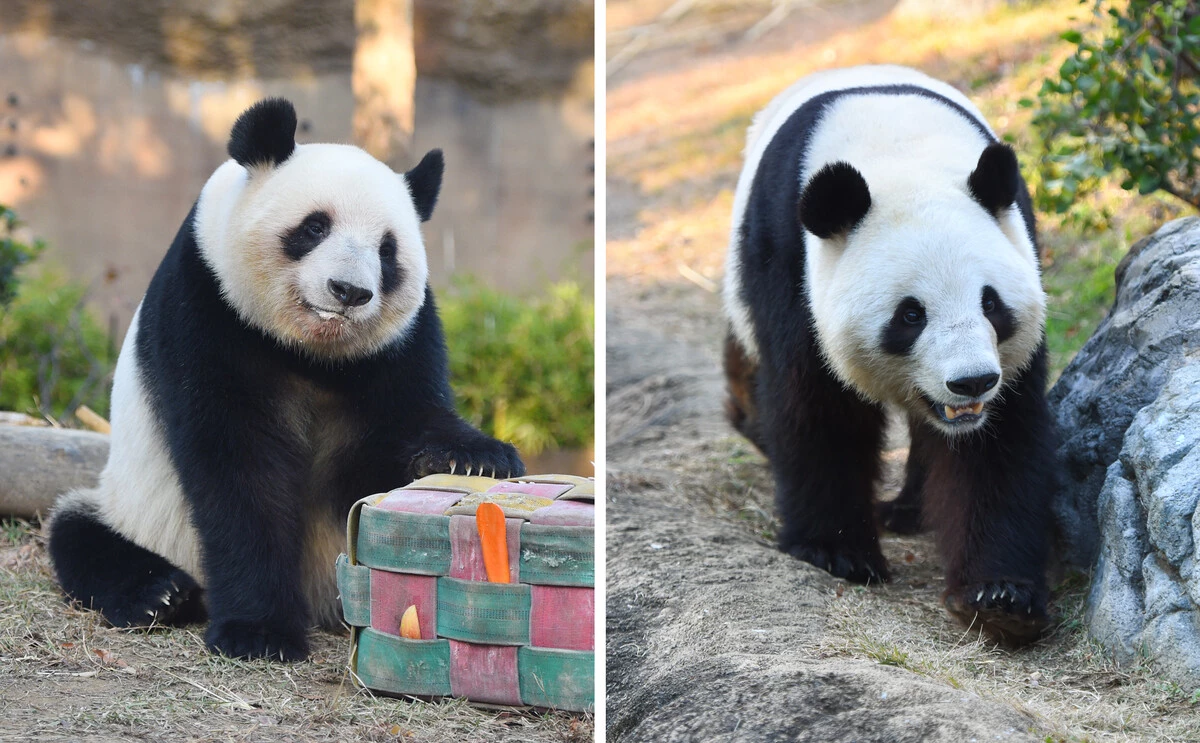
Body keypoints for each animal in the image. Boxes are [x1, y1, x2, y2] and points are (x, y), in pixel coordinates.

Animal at [47, 98, 525, 661]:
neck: (311, 352)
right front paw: (259, 632)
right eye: (314, 227)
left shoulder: (400, 346)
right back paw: (159, 594)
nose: (349, 291)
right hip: (133, 508)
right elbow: (238, 469)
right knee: (77, 534)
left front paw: (471, 459)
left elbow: (397, 433)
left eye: (387, 251)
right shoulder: (207, 308)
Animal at [722, 65, 1056, 643]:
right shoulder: (788, 263)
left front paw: (1001, 597)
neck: (900, 152)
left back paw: (909, 510)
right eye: (911, 315)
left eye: (990, 303)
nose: (971, 382)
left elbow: (998, 444)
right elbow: (818, 406)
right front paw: (837, 552)